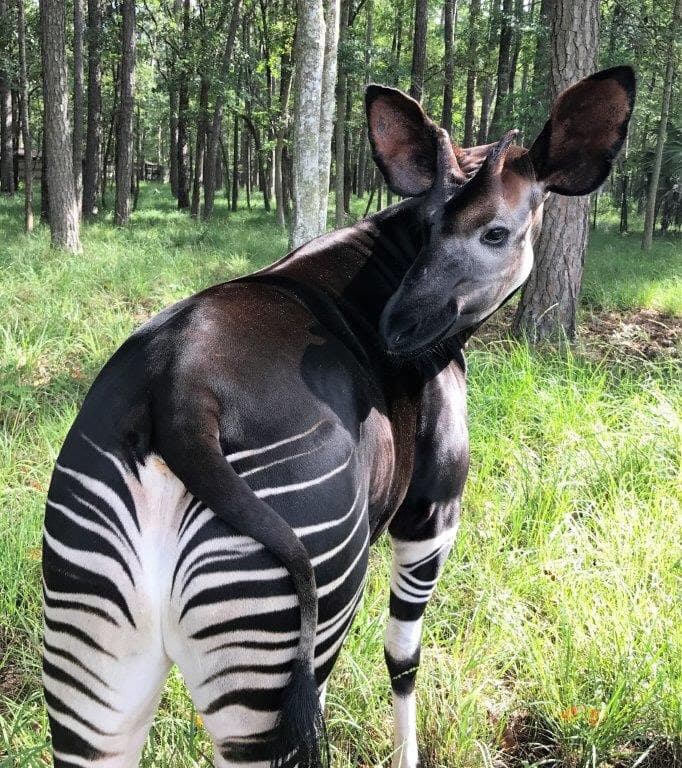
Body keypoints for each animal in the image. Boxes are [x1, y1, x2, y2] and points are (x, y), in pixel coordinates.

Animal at [43, 67, 635, 768]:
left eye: (494, 232)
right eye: (428, 228)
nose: (397, 328)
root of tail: (178, 393)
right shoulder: (431, 513)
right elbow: (402, 657)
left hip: (96, 656)